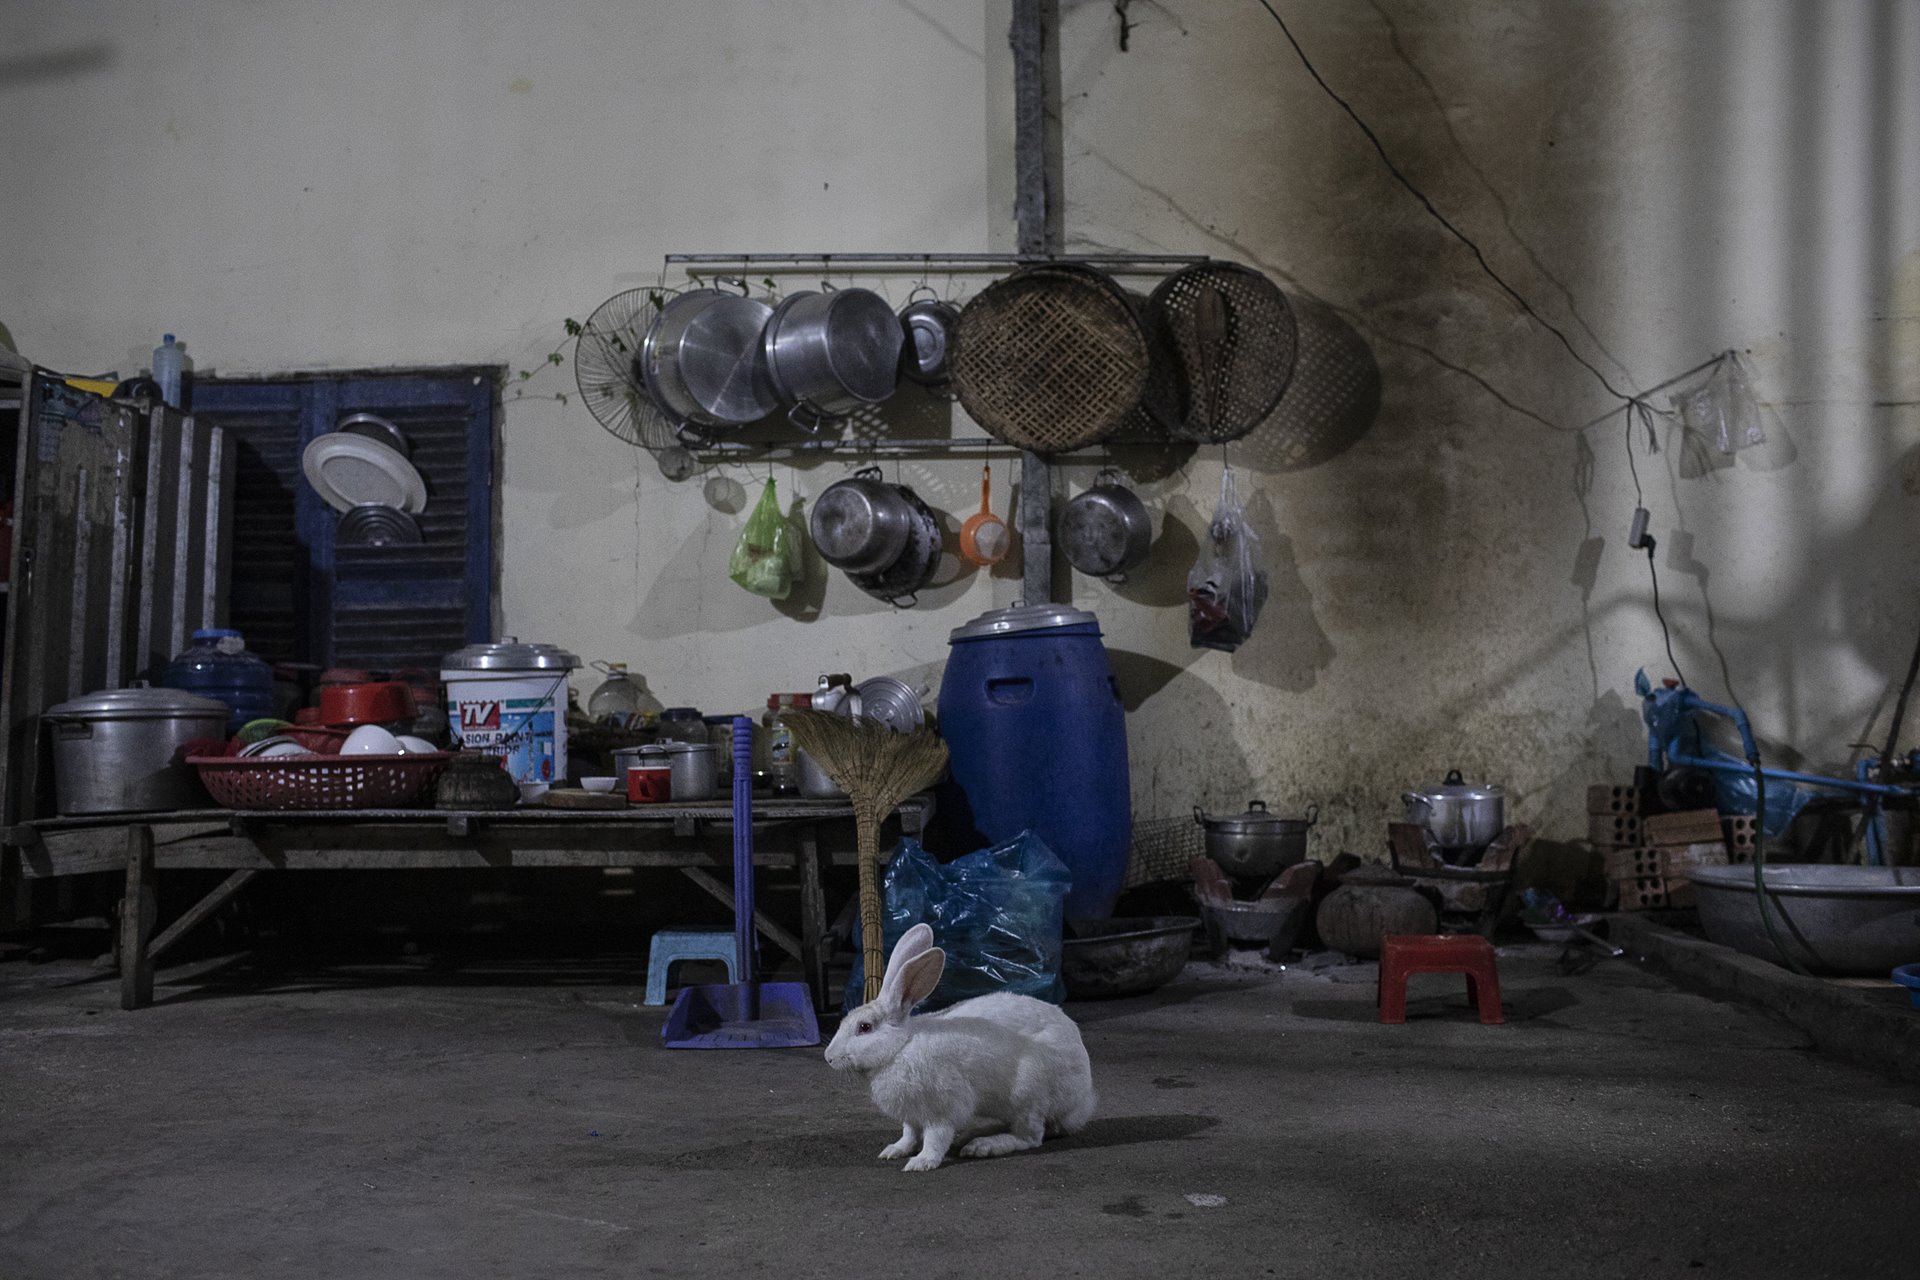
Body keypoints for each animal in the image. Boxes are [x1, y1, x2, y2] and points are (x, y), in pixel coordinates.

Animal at [821, 921, 1098, 1174]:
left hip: (1028, 1095)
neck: (900, 1047)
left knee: (1030, 1137)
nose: (828, 1057)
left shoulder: (943, 1108)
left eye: (864, 1027)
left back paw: (983, 1145)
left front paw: (922, 1162)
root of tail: (1082, 1100)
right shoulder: (912, 1115)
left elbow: (936, 1138)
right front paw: (893, 1150)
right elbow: (909, 1134)